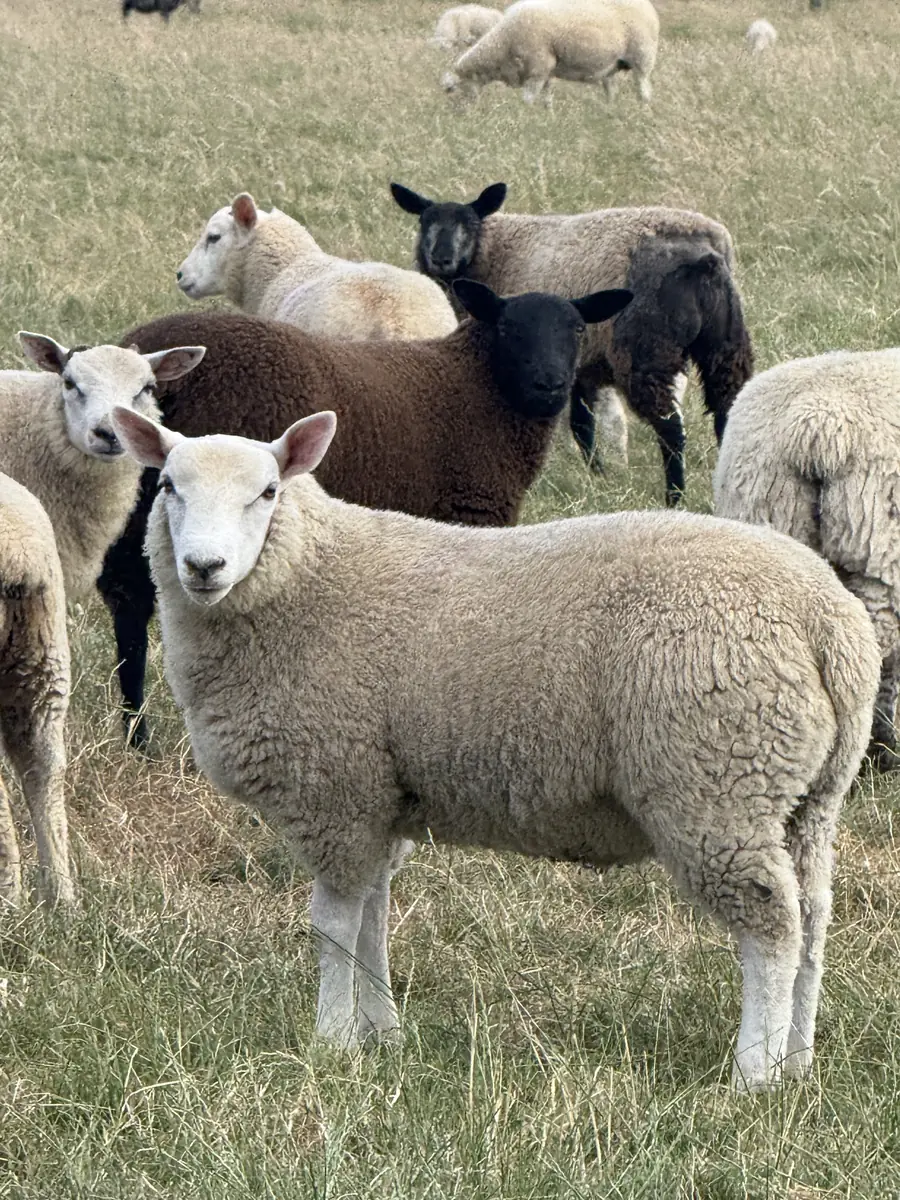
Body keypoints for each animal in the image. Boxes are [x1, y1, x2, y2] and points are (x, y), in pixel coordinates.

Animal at [101, 283, 632, 748]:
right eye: (508, 328)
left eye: (577, 328)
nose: (551, 385)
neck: (478, 390)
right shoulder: (471, 513)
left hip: (134, 517)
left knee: (128, 610)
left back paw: (137, 737)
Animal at [111, 405, 880, 1092]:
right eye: (169, 486)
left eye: (268, 492)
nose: (203, 566)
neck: (306, 578)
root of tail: (827, 620)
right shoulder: (381, 798)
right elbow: (374, 918)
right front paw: (383, 1033)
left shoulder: (335, 791)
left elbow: (333, 925)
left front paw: (331, 1044)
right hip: (805, 795)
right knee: (813, 918)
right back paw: (798, 1059)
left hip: (717, 785)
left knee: (772, 925)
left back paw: (755, 1074)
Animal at [391, 180, 754, 505]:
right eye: (424, 222)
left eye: (469, 224)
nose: (442, 259)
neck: (494, 253)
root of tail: (703, 259)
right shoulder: (582, 363)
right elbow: (584, 423)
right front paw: (600, 475)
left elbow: (579, 423)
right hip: (726, 346)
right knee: (727, 411)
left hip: (646, 352)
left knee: (671, 429)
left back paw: (675, 497)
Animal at [441, 0, 660, 106]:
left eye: (453, 89)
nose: (460, 115)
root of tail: (648, 6)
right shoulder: (545, 72)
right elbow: (547, 99)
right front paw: (548, 118)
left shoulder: (538, 68)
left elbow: (527, 100)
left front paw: (527, 119)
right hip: (611, 66)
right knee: (612, 91)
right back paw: (608, 112)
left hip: (642, 55)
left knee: (644, 90)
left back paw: (643, 111)